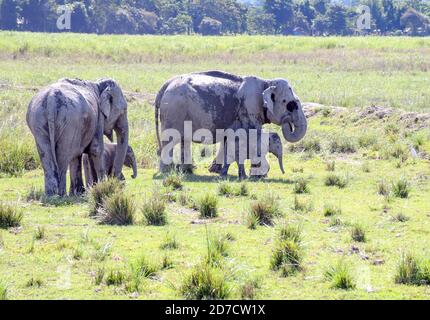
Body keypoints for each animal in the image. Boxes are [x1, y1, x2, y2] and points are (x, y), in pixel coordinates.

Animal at [156, 71, 308, 174]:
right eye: (291, 105)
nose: (287, 121)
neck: (267, 82)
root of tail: (165, 85)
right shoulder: (250, 108)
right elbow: (253, 135)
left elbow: (228, 139)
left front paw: (215, 171)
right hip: (174, 111)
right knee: (170, 140)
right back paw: (167, 171)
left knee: (183, 140)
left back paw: (187, 170)